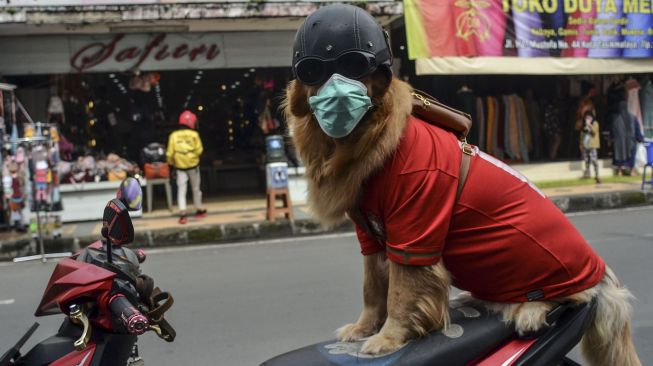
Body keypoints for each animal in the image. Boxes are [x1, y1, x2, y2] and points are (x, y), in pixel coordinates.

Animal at [282, 4, 640, 364]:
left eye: (354, 65)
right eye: (313, 72)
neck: (372, 138)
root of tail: (603, 277)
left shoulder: (415, 229)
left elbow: (399, 293)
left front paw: (389, 337)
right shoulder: (370, 236)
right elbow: (372, 288)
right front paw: (363, 327)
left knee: (574, 296)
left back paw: (532, 309)